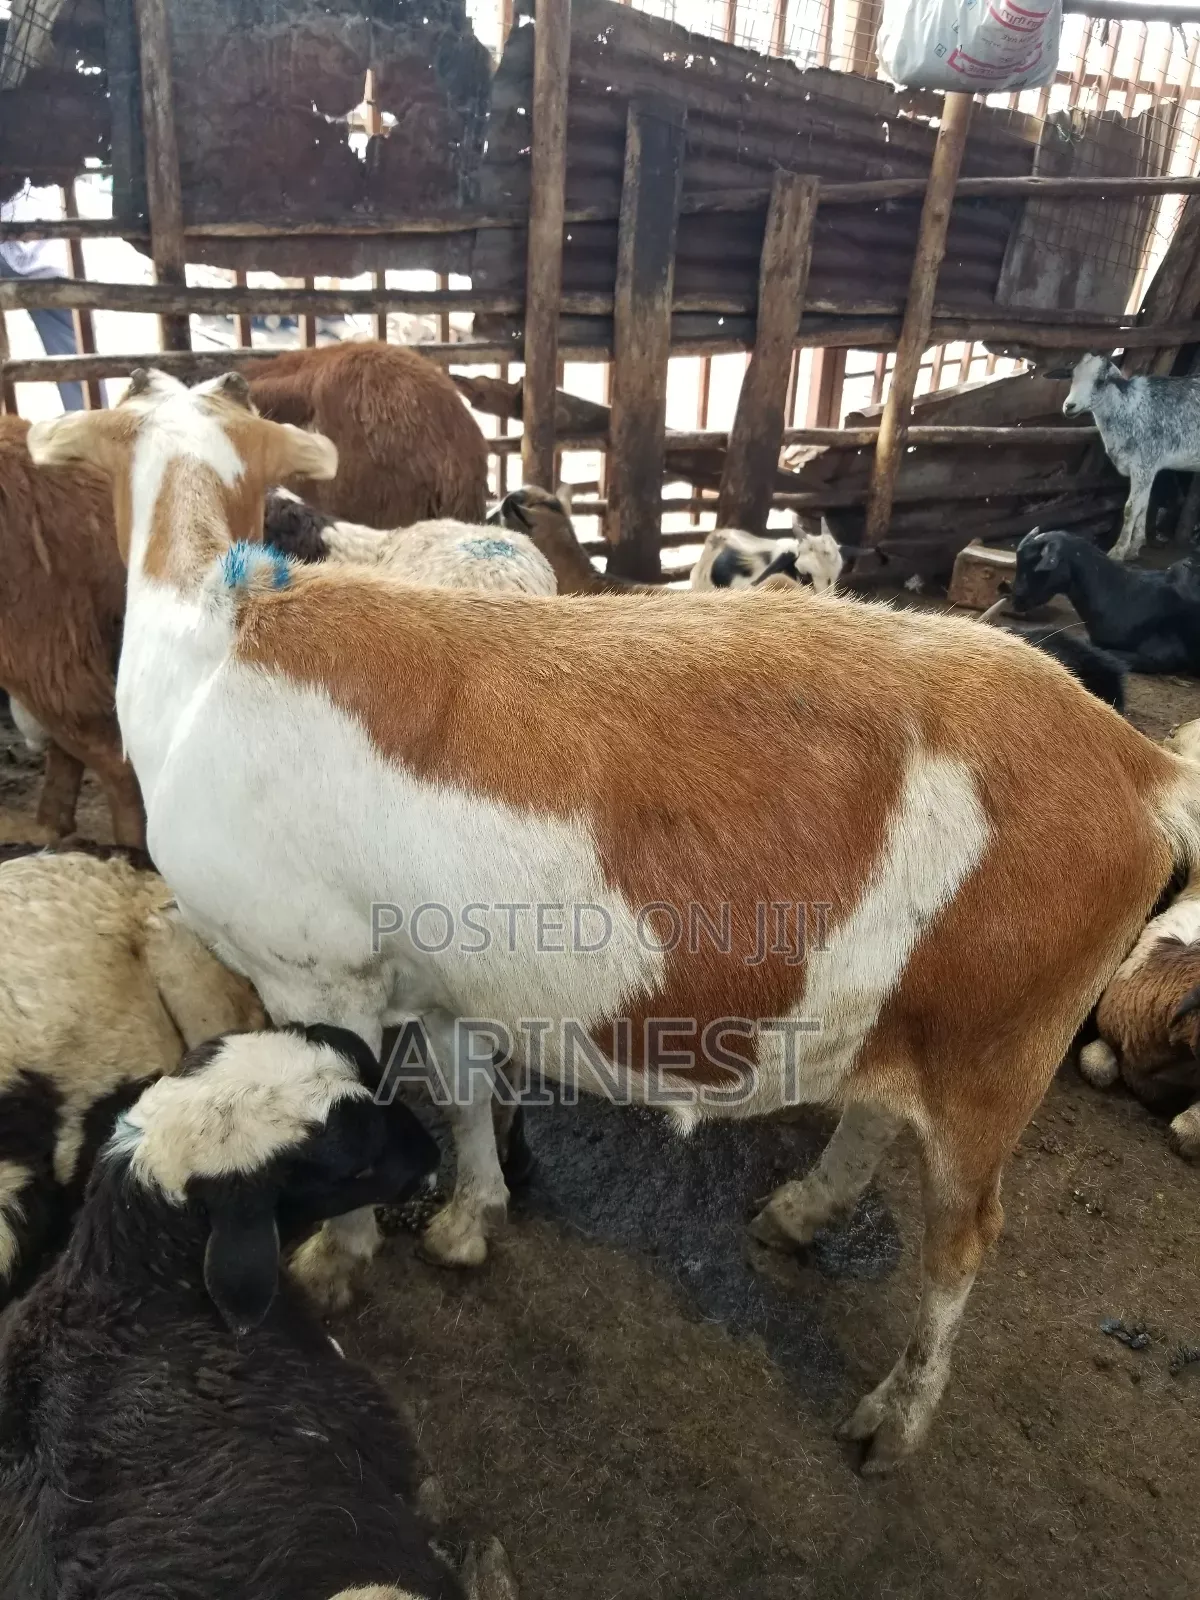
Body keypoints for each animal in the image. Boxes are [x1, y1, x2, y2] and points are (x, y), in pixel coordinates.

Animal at [1051, 353, 1200, 561]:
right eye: (1072, 376)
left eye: (1100, 381)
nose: (1069, 406)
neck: (1128, 408)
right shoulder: (1148, 468)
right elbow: (1144, 506)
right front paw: (1134, 547)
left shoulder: (1144, 464)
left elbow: (1131, 508)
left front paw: (1118, 551)